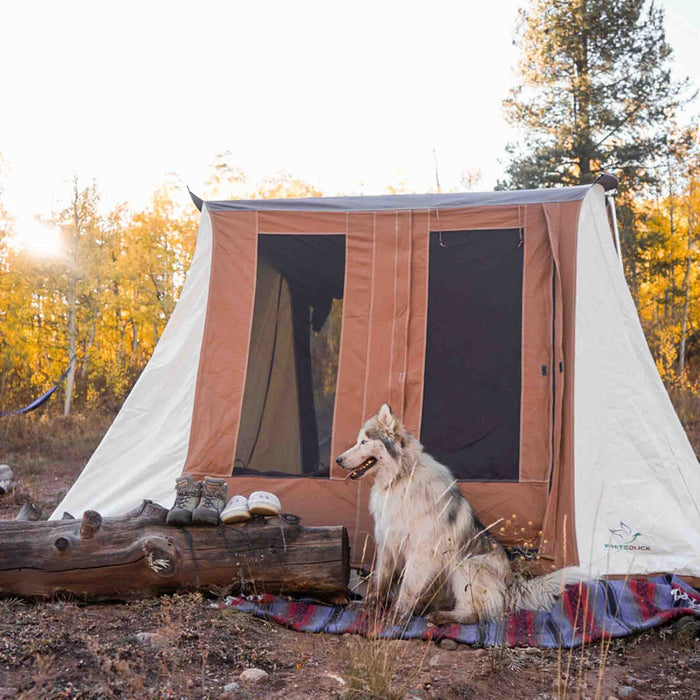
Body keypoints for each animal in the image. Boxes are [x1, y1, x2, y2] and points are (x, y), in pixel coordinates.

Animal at [334, 402, 580, 628]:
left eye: (364, 442)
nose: (338, 459)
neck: (401, 478)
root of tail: (510, 584)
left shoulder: (420, 552)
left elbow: (407, 588)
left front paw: (396, 616)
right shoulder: (387, 546)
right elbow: (379, 583)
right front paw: (369, 608)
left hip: (465, 566)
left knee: (475, 614)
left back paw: (439, 617)